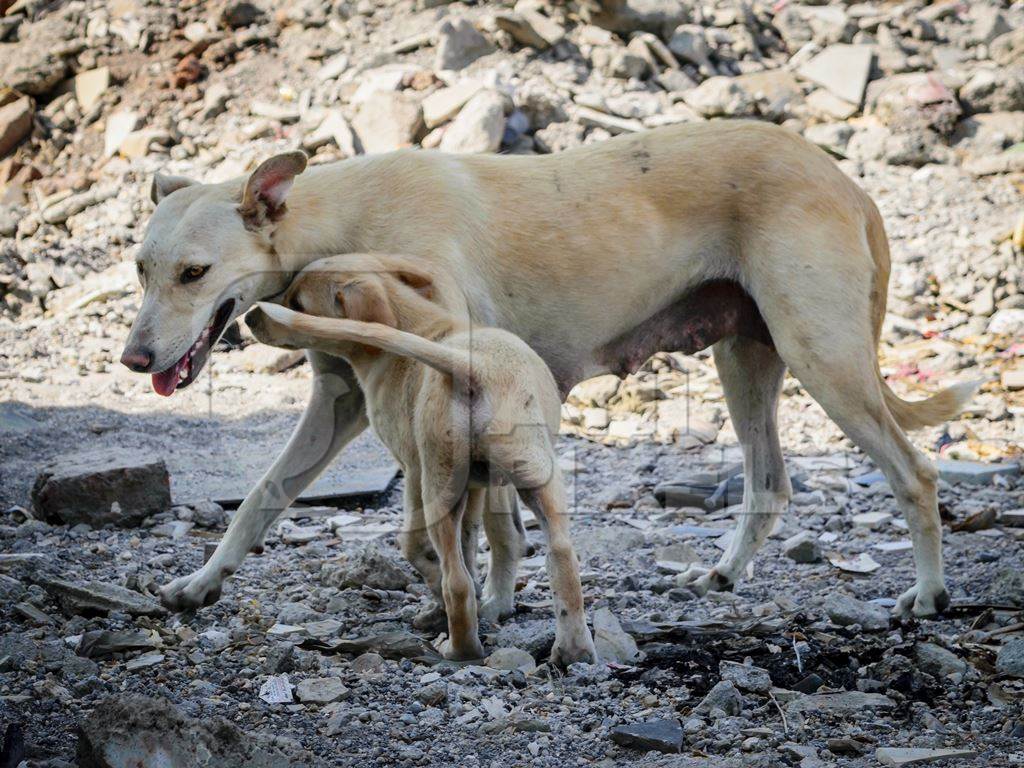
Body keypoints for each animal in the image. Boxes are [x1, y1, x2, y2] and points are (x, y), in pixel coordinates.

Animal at [123, 123, 970, 622]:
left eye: (194, 273)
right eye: (141, 269)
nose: (134, 360)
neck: (334, 222)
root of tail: (845, 181)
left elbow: (483, 526)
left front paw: (484, 604)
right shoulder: (339, 401)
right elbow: (262, 496)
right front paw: (203, 582)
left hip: (823, 359)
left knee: (916, 472)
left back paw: (930, 593)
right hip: (746, 362)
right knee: (769, 485)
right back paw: (724, 576)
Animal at [246, 256, 598, 663]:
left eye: (297, 303)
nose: (249, 317)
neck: (420, 324)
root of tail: (472, 366)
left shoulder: (413, 471)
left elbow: (415, 545)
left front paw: (435, 596)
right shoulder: (481, 486)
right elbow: (479, 539)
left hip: (439, 488)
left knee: (457, 582)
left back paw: (460, 648)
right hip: (539, 477)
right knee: (561, 557)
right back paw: (573, 650)